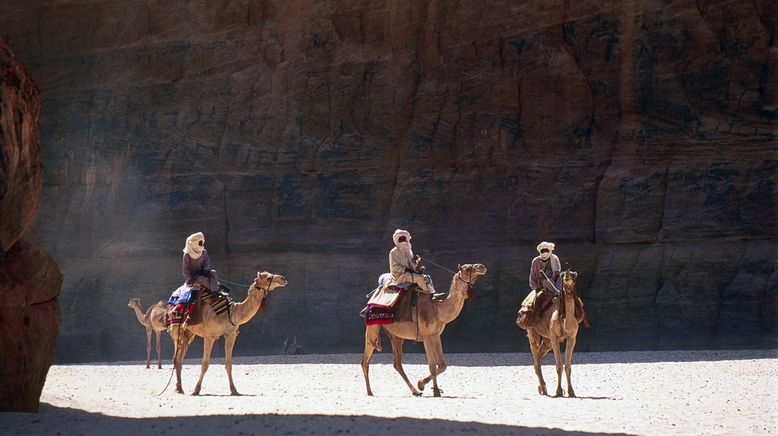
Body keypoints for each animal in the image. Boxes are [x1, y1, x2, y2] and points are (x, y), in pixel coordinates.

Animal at [360, 264, 482, 396]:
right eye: (467, 268)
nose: (482, 267)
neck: (438, 309)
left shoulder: (436, 335)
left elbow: (443, 365)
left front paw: (422, 384)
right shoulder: (426, 336)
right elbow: (432, 365)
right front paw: (435, 391)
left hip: (396, 335)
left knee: (397, 363)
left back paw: (415, 391)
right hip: (372, 326)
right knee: (366, 357)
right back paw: (370, 392)